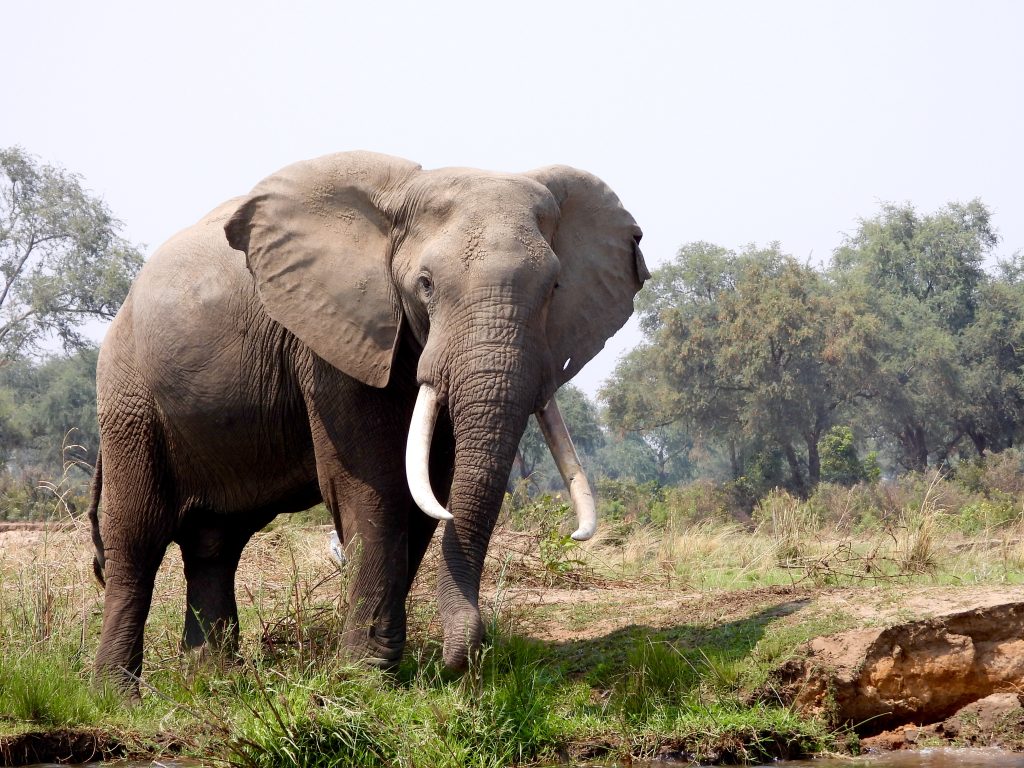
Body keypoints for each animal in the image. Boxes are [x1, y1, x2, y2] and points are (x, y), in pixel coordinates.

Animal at [87, 151, 647, 690]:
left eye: (554, 288)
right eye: (426, 284)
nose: (462, 663)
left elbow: (426, 491)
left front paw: (383, 670)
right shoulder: (329, 340)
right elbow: (374, 488)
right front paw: (366, 677)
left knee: (215, 542)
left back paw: (213, 683)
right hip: (128, 394)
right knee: (137, 538)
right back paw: (117, 694)